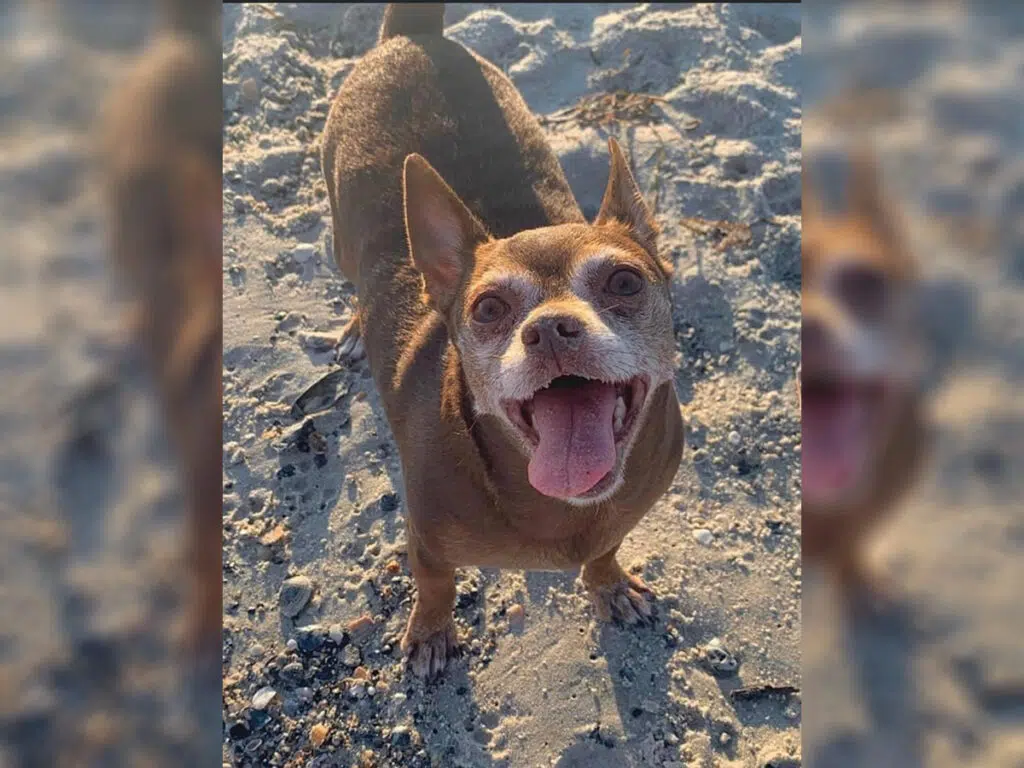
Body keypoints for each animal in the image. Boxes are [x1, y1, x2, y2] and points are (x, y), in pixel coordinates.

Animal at [319, 6, 688, 679]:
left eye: (624, 281)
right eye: (488, 308)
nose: (550, 329)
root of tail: (414, 36)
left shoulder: (619, 520)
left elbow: (606, 549)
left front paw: (609, 584)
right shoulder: (426, 542)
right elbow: (435, 584)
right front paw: (430, 632)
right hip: (339, 235)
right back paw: (357, 328)